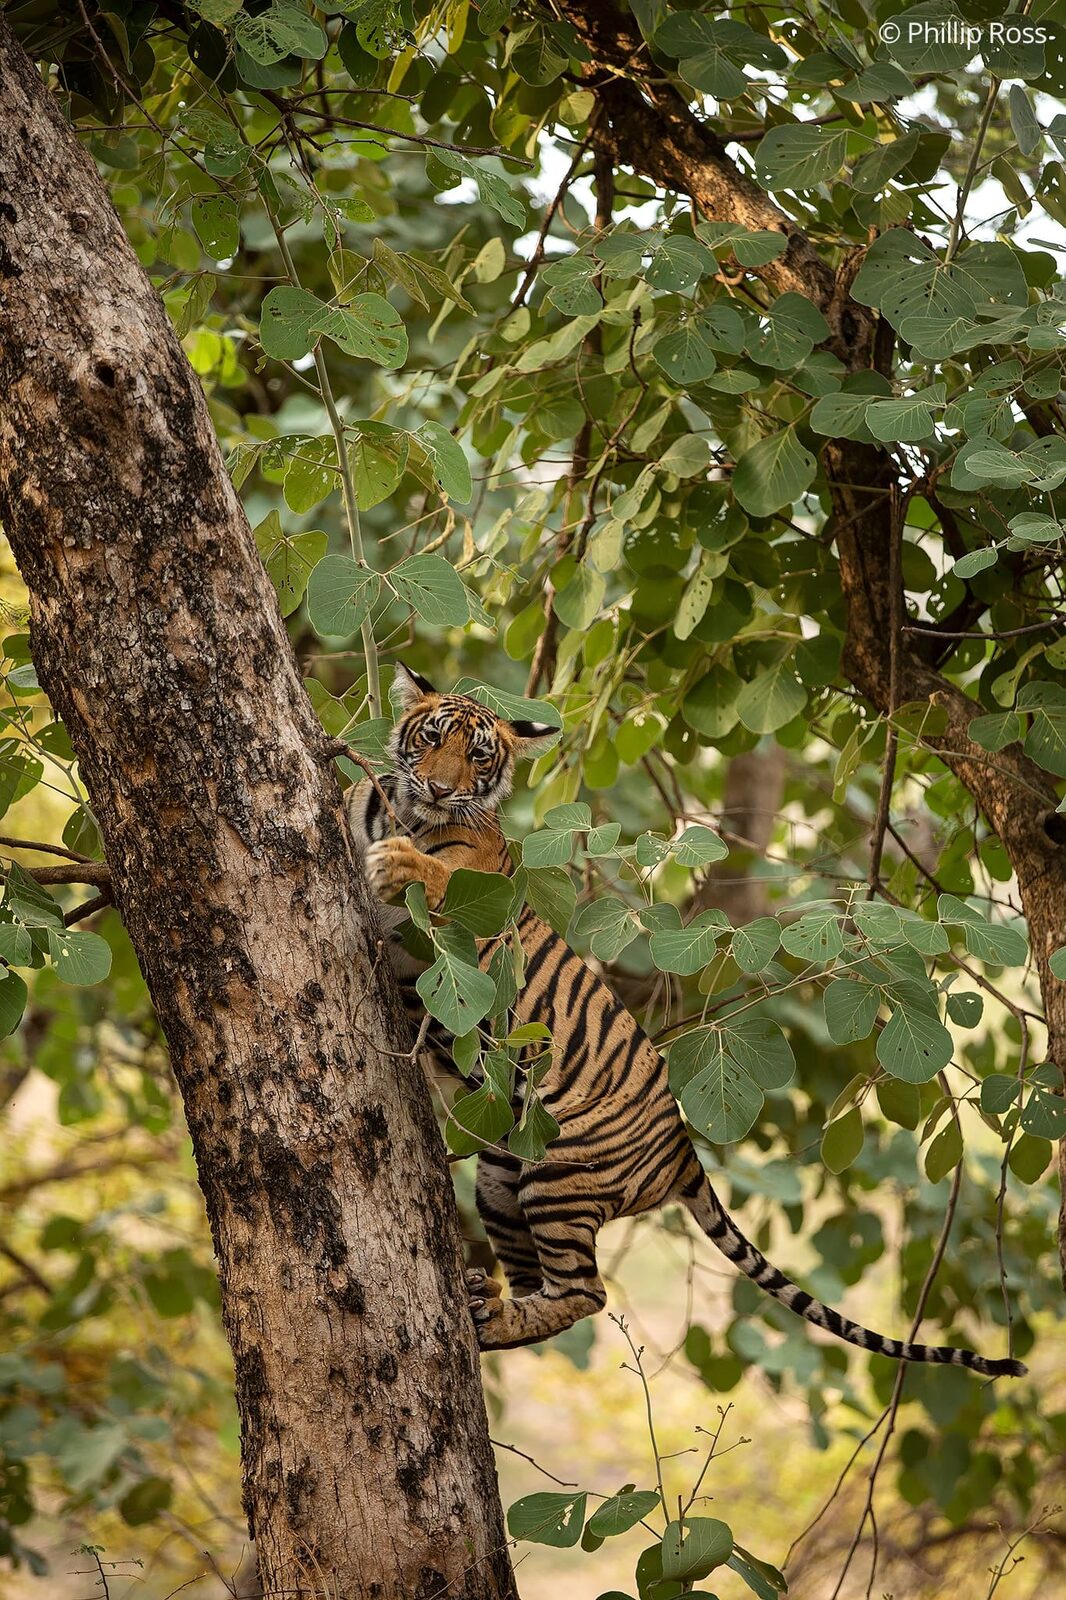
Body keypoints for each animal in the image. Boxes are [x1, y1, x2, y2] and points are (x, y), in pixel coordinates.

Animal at [345, 662, 1024, 1377]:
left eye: (478, 756)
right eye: (432, 738)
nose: (441, 788)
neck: (405, 811)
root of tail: (683, 1150)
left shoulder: (483, 927)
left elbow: (440, 881)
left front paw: (399, 862)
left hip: (560, 1171)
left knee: (585, 1292)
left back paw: (492, 1310)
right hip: (504, 1175)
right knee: (536, 1282)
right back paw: (485, 1304)